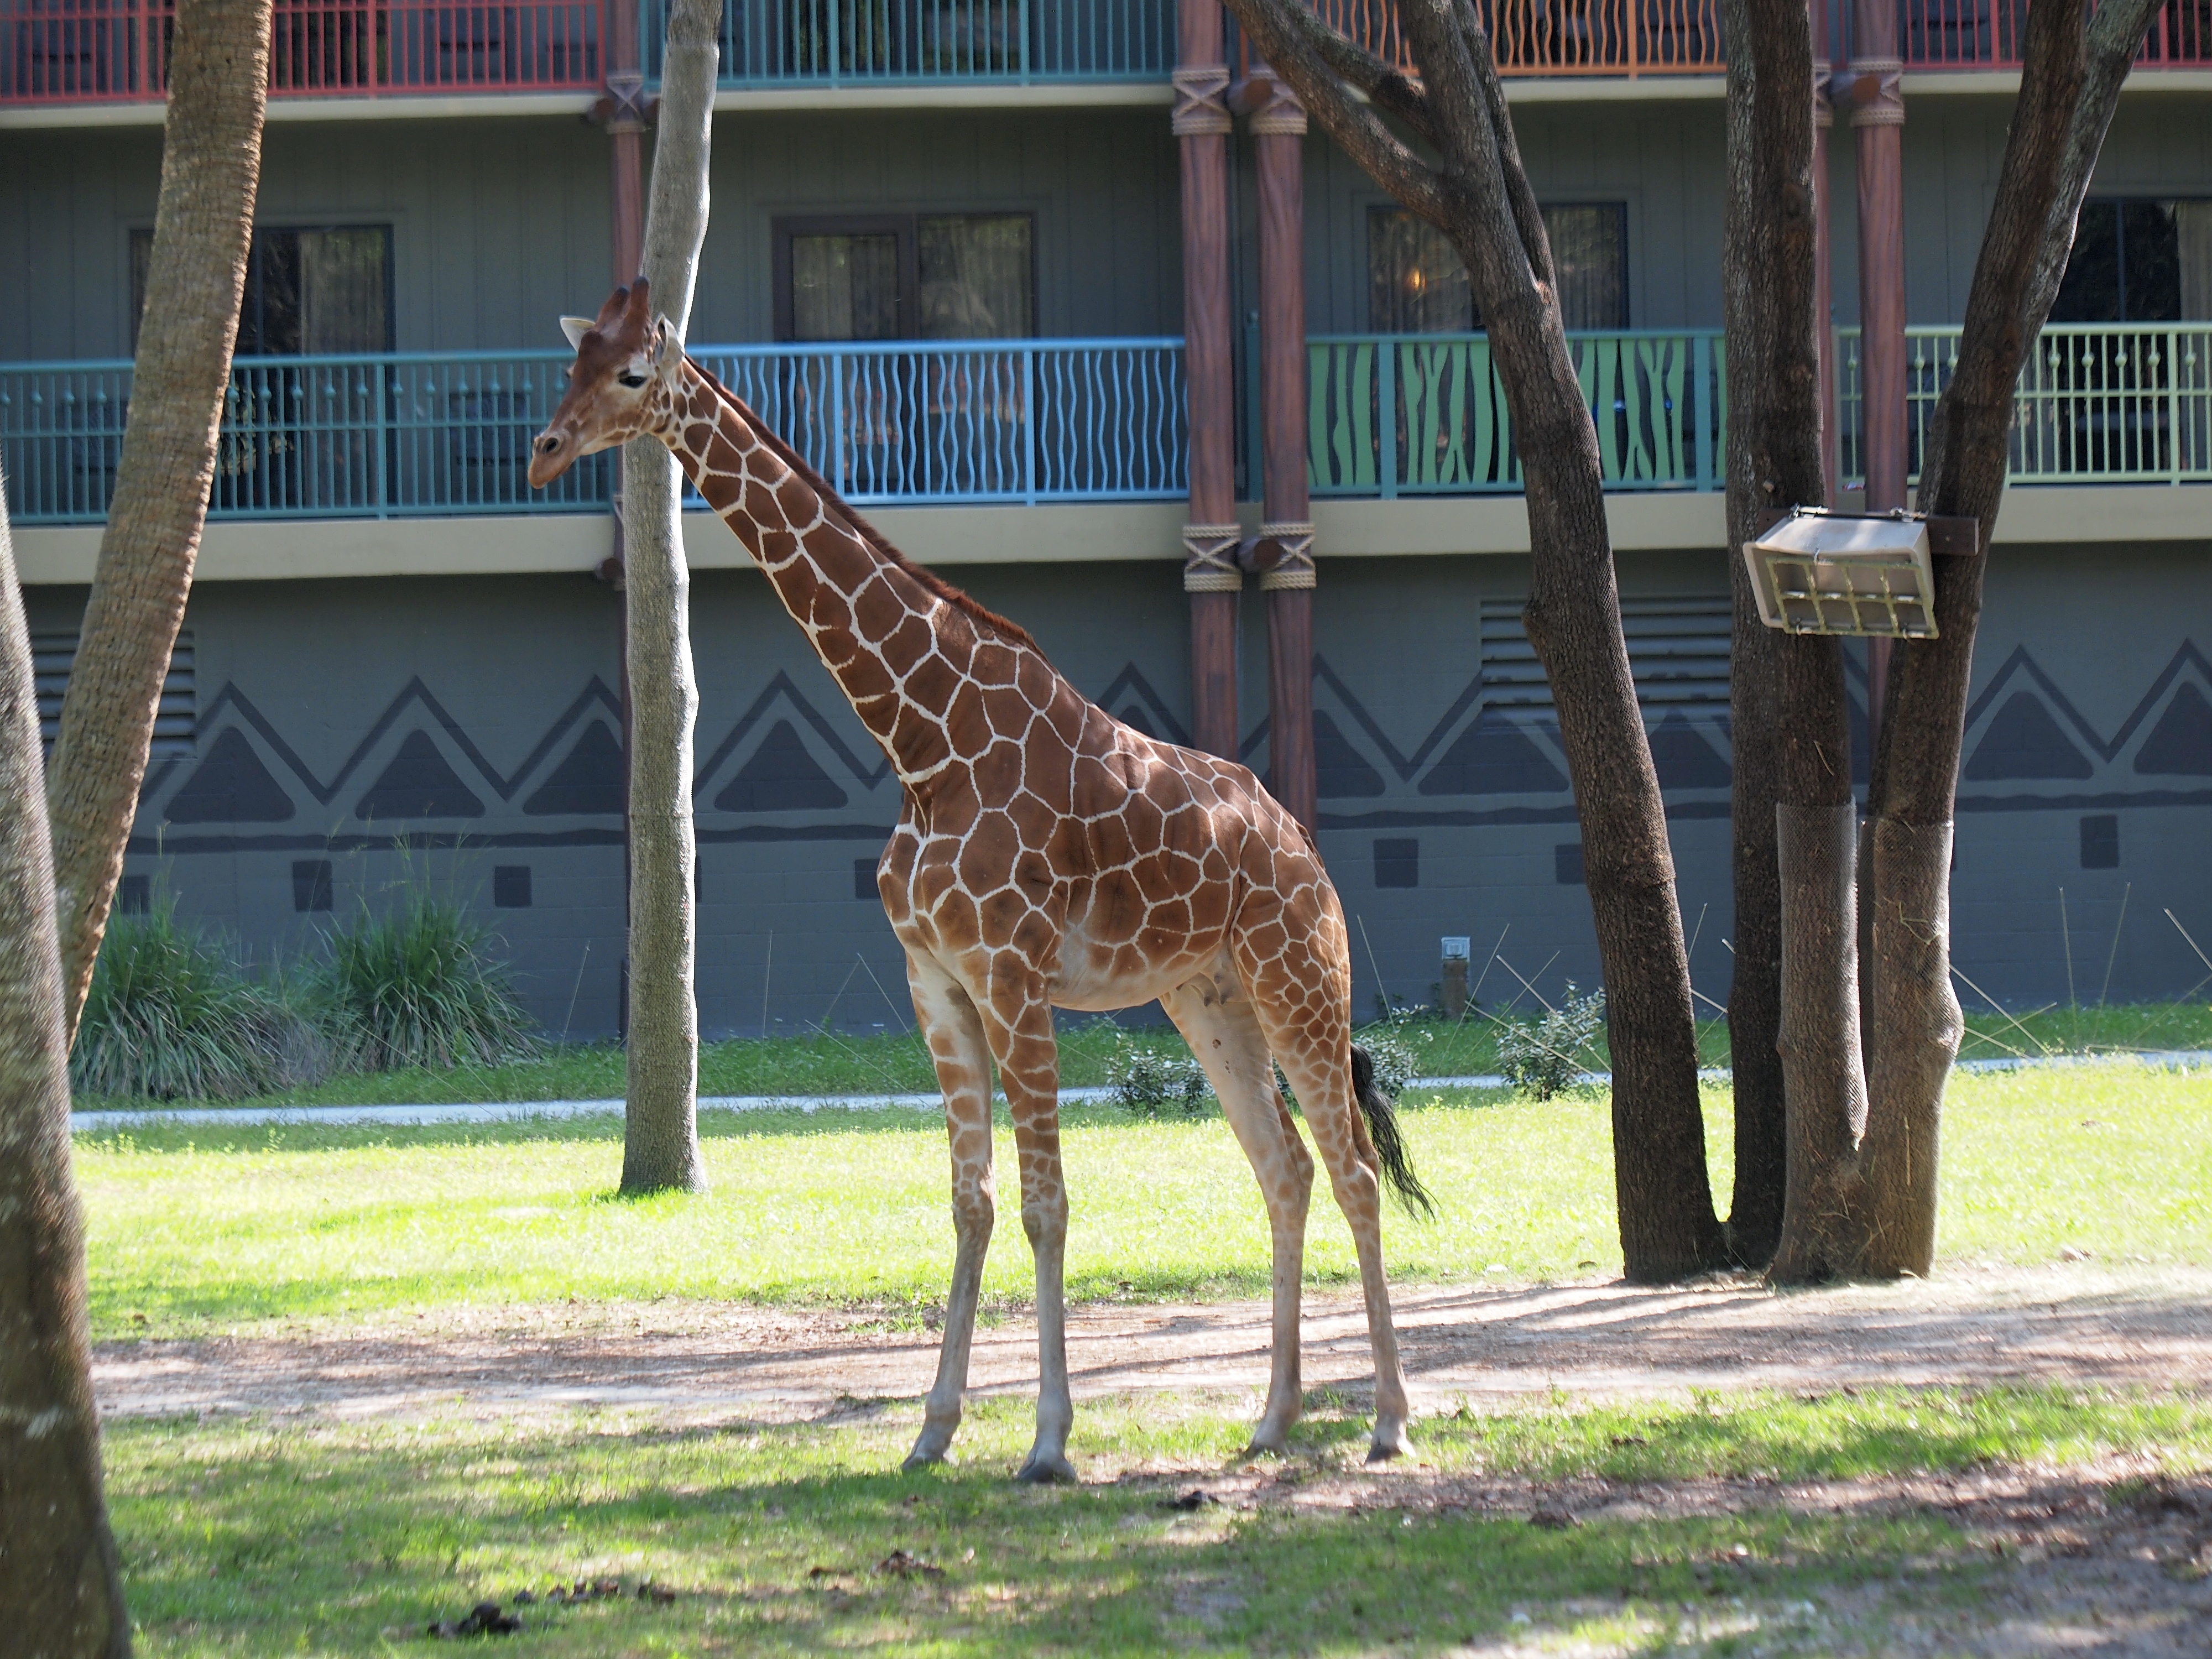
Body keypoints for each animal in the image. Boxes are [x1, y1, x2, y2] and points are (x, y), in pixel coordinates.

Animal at [530, 280, 1433, 1480]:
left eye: (632, 374)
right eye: (574, 362)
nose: (542, 451)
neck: (921, 740)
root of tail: (1306, 854)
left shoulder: (1012, 975)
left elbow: (1048, 1201)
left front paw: (1048, 1441)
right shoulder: (935, 981)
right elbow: (971, 1201)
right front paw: (933, 1429)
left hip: (1299, 978)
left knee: (1352, 1170)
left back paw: (1386, 1422)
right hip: (1208, 999)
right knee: (1281, 1169)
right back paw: (1272, 1417)